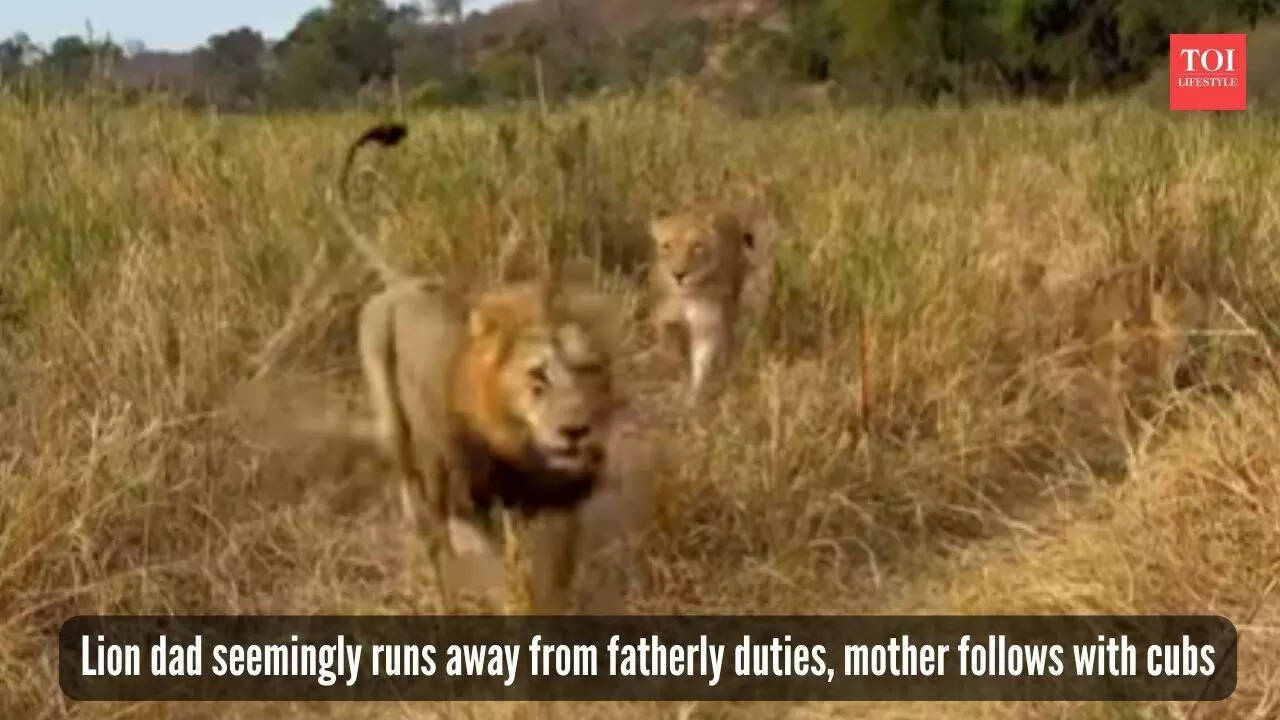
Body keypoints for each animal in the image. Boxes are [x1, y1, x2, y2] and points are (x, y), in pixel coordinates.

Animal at [329, 123, 652, 612]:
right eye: (537, 377)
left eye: (591, 370)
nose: (576, 431)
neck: (527, 451)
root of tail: (402, 283)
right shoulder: (474, 506)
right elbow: (508, 578)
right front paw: (515, 603)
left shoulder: (566, 505)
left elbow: (559, 570)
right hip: (397, 424)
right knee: (419, 505)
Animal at [649, 193, 775, 402]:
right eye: (667, 246)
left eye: (697, 246)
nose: (679, 275)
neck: (689, 294)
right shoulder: (663, 317)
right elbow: (669, 346)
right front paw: (673, 368)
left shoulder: (706, 324)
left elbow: (701, 361)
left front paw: (693, 398)